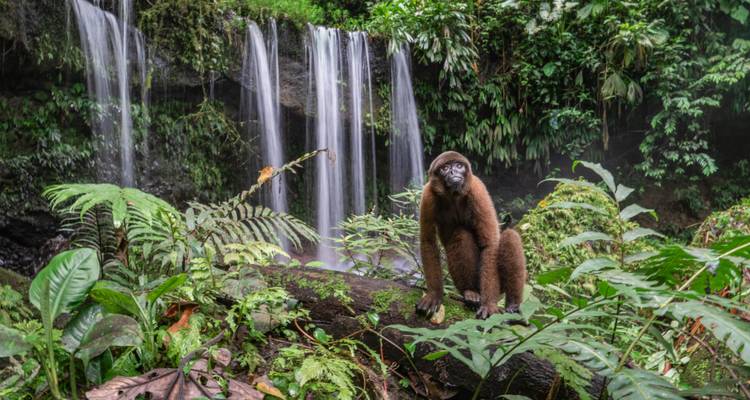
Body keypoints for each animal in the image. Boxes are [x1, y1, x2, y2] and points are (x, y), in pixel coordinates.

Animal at [416, 151, 527, 319]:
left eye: (458, 166)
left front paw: (489, 305)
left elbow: (490, 244)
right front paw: (434, 295)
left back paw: (512, 304)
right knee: (461, 234)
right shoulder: (428, 194)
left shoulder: (477, 189)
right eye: (445, 168)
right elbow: (428, 241)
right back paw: (471, 293)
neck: (454, 195)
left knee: (510, 237)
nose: (453, 172)